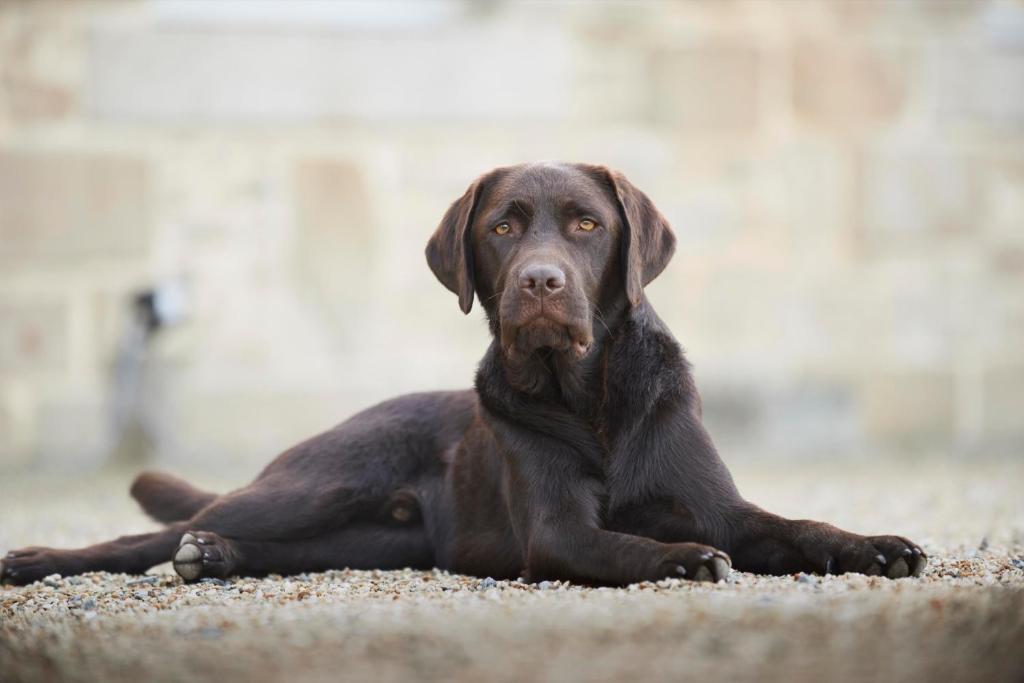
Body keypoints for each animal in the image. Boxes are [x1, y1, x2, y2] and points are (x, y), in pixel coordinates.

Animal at [2, 163, 929, 589]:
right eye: (503, 227)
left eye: (587, 225)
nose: (541, 283)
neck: (589, 399)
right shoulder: (558, 531)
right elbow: (630, 542)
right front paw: (683, 559)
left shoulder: (722, 505)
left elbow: (801, 525)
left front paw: (880, 546)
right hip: (314, 486)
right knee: (153, 534)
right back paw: (44, 556)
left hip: (380, 538)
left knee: (255, 544)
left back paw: (218, 557)